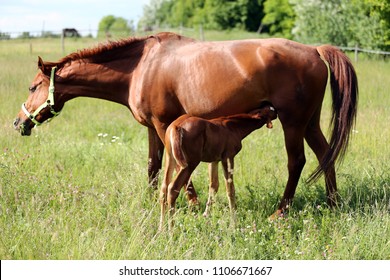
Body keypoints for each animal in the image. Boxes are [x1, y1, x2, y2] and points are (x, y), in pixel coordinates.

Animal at [13, 32, 358, 217]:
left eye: (32, 87)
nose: (18, 122)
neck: (141, 66)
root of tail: (314, 50)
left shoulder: (165, 124)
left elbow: (179, 167)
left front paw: (189, 203)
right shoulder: (152, 128)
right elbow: (153, 165)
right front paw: (152, 201)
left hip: (292, 122)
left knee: (296, 161)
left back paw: (280, 211)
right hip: (309, 122)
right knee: (325, 155)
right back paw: (333, 204)